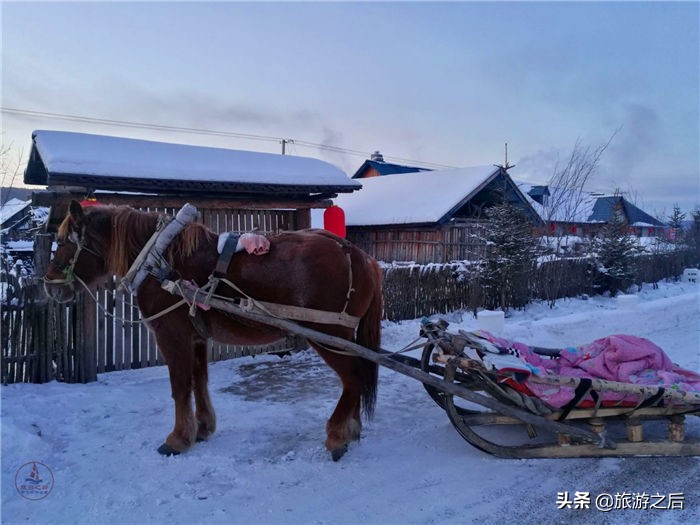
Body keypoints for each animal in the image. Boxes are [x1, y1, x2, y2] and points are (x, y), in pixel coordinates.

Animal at [43, 201, 382, 458]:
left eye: (64, 241)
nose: (49, 285)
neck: (160, 261)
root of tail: (357, 254)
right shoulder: (195, 337)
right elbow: (198, 382)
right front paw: (202, 428)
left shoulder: (171, 335)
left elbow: (180, 386)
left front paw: (178, 439)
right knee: (357, 375)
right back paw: (351, 429)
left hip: (328, 336)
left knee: (353, 378)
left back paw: (337, 434)